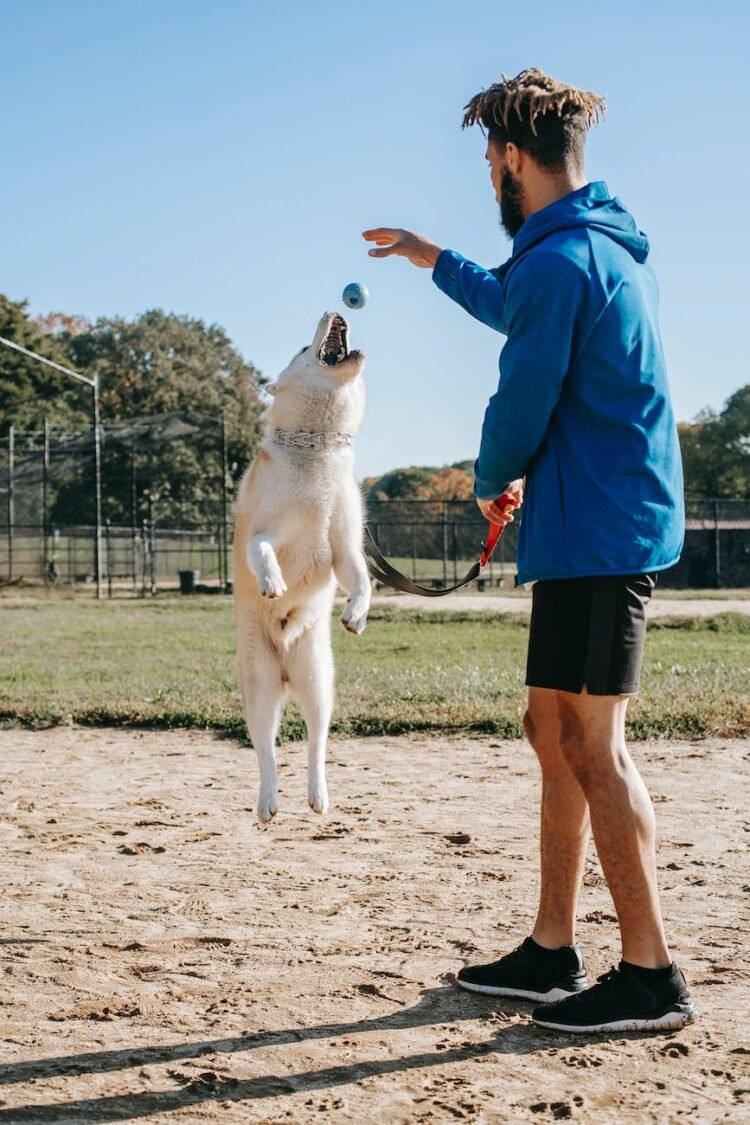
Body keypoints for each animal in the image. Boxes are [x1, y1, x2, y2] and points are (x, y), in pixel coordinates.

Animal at [232, 312, 371, 823]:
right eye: (300, 347)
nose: (335, 311)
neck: (318, 452)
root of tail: (287, 669)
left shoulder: (345, 549)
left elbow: (363, 581)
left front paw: (356, 613)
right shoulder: (263, 532)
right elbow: (262, 552)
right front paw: (273, 581)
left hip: (318, 686)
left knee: (316, 742)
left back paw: (318, 795)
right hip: (260, 688)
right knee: (266, 749)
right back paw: (268, 801)